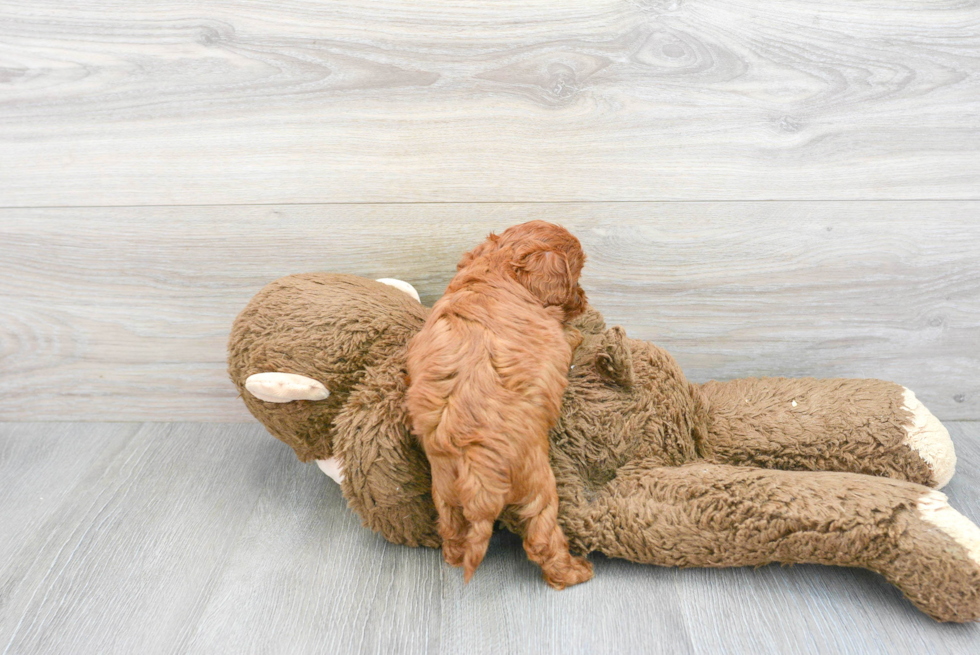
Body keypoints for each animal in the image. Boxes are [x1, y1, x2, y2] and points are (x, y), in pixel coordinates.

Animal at [404, 223, 592, 592]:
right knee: (541, 537)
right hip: (538, 484)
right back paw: (573, 572)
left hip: (444, 489)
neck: (498, 267)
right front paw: (578, 331)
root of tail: (474, 466)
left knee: (451, 529)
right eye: (575, 275)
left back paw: (453, 554)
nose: (583, 299)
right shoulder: (557, 339)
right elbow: (569, 338)